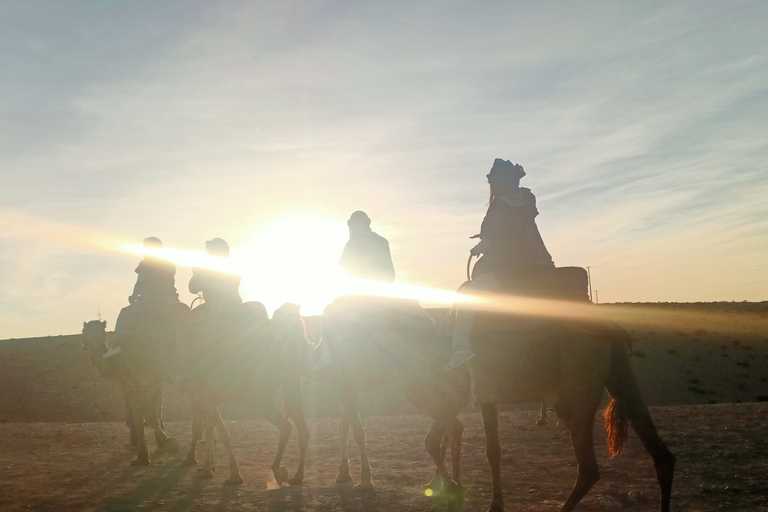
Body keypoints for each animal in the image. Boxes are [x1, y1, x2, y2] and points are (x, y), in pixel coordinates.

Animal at [80, 320, 180, 464]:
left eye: (83, 330)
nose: (83, 341)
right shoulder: (156, 384)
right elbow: (154, 414)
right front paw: (161, 445)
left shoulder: (132, 382)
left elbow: (142, 416)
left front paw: (145, 455)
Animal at [177, 302, 308, 486]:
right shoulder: (206, 399)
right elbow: (209, 431)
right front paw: (206, 470)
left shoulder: (202, 397)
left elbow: (218, 432)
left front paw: (233, 475)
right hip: (291, 385)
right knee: (303, 430)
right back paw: (298, 475)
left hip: (258, 396)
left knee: (286, 426)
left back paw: (278, 470)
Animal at [298, 296, 468, 500]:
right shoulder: (348, 388)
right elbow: (343, 427)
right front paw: (343, 474)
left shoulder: (343, 385)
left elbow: (357, 432)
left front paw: (365, 481)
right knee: (454, 424)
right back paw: (451, 482)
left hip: (421, 385)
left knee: (446, 422)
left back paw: (448, 483)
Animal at [464, 308, 676, 512]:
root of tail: (613, 331)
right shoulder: (485, 398)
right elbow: (489, 449)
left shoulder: (482, 396)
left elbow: (489, 451)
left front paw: (492, 504)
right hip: (620, 376)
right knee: (661, 455)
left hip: (578, 387)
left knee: (588, 469)